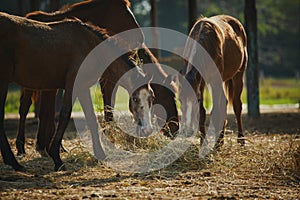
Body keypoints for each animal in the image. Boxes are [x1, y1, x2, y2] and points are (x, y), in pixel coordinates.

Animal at [0, 12, 152, 170]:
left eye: (151, 98)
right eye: (135, 98)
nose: (148, 130)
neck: (89, 47)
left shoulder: (82, 88)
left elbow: (91, 119)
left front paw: (100, 154)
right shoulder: (73, 86)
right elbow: (65, 115)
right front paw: (56, 157)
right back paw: (14, 162)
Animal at [16, 0, 179, 155]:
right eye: (167, 98)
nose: (175, 129)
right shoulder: (104, 80)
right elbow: (108, 107)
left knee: (45, 110)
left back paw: (46, 146)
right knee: (25, 107)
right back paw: (22, 146)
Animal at [179, 14, 247, 147]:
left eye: (195, 100)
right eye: (180, 100)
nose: (188, 130)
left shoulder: (215, 80)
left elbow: (215, 111)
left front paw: (216, 145)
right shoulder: (201, 83)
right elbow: (202, 113)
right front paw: (202, 142)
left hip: (238, 75)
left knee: (236, 105)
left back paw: (240, 140)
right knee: (224, 103)